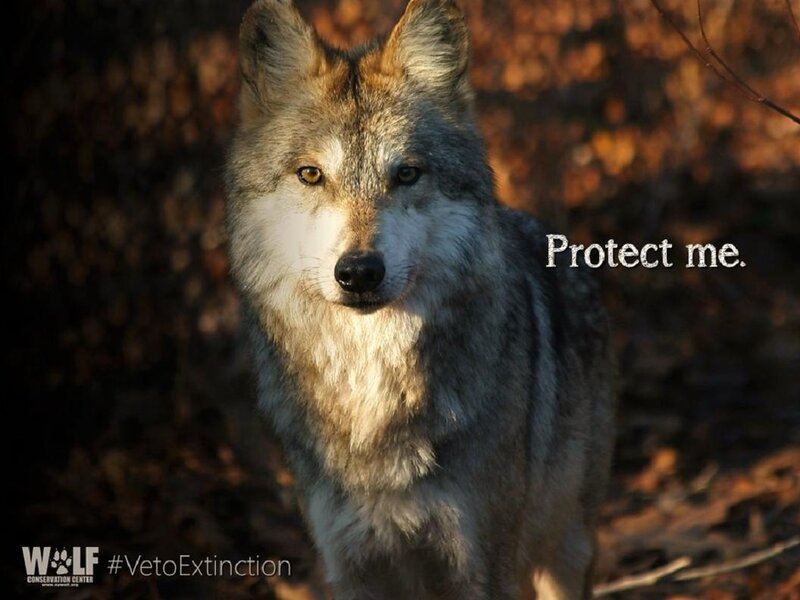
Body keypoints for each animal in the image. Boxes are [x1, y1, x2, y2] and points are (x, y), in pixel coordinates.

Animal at [226, 1, 616, 598]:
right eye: (311, 174)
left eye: (406, 174)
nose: (359, 272)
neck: (370, 391)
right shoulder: (351, 567)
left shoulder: (480, 565)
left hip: (566, 547)